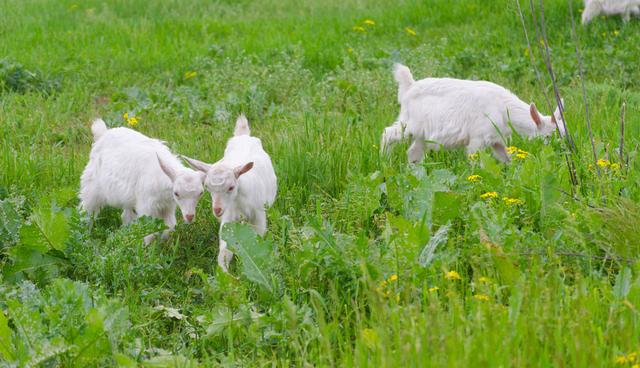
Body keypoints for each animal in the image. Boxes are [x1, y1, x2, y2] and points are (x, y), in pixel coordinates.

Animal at [182, 115, 278, 274]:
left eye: (231, 187)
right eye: (207, 187)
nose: (217, 210)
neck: (240, 201)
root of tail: (243, 135)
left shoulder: (258, 215)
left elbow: (255, 239)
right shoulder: (229, 219)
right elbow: (225, 249)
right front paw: (224, 272)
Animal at [380, 63, 564, 162]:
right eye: (548, 136)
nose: (562, 153)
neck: (503, 109)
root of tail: (409, 86)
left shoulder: (496, 140)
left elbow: (506, 159)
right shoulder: (477, 139)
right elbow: (475, 161)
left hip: (423, 135)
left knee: (413, 152)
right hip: (410, 124)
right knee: (388, 133)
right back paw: (384, 160)